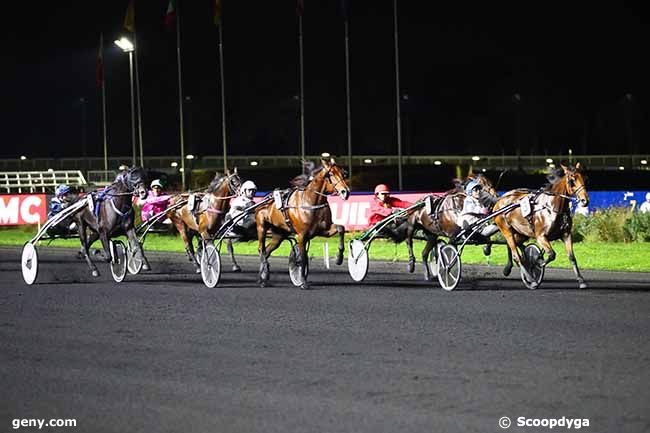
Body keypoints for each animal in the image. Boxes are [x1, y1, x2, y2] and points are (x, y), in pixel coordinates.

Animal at [256, 157, 352, 288]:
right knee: (261, 250)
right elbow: (302, 258)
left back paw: (264, 276)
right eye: (331, 174)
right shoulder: (302, 235)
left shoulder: (323, 230)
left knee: (267, 251)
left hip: (279, 235)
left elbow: (340, 228)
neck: (310, 202)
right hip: (262, 228)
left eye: (343, 173)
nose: (345, 192)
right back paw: (262, 277)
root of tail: (264, 200)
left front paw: (339, 258)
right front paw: (302, 281)